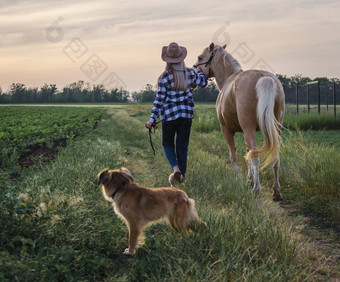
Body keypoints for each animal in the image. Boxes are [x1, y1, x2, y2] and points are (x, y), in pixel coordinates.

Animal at [194, 42, 284, 200]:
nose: (194, 69)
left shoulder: (227, 130)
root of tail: (264, 78)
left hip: (249, 130)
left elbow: (234, 155)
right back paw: (276, 191)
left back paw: (257, 189)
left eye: (200, 57)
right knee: (274, 157)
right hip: (275, 129)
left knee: (255, 157)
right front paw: (249, 179)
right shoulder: (245, 131)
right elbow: (247, 153)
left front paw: (239, 180)